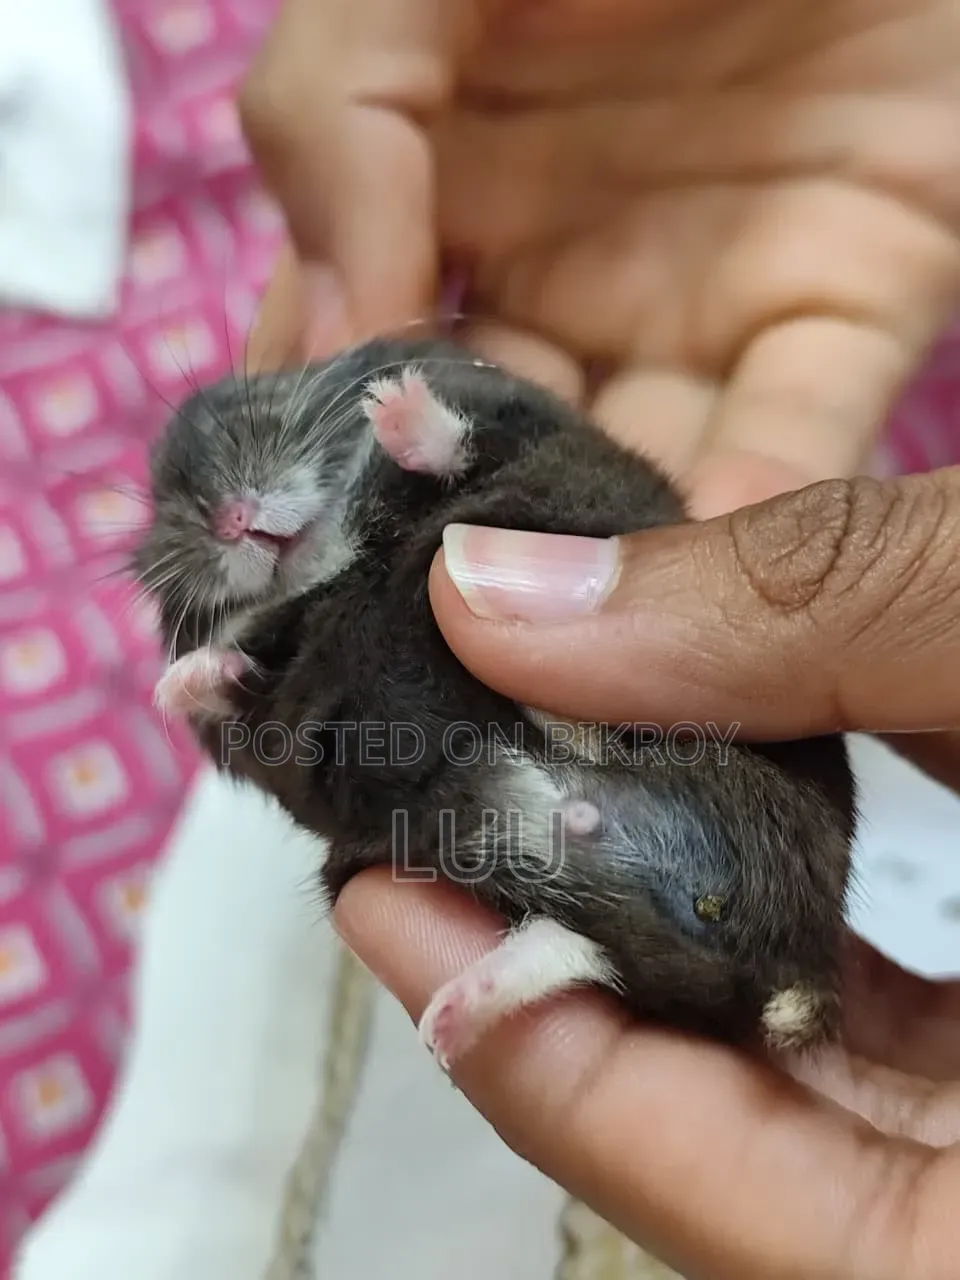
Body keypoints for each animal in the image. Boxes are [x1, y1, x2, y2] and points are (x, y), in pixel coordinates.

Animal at [134, 335, 857, 1067]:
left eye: (260, 399)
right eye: (162, 506)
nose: (229, 519)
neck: (335, 560)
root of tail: (799, 972)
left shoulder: (532, 429)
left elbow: (464, 448)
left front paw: (392, 402)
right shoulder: (276, 712)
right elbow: (244, 675)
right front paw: (176, 684)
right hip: (597, 919)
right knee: (579, 950)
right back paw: (451, 1015)